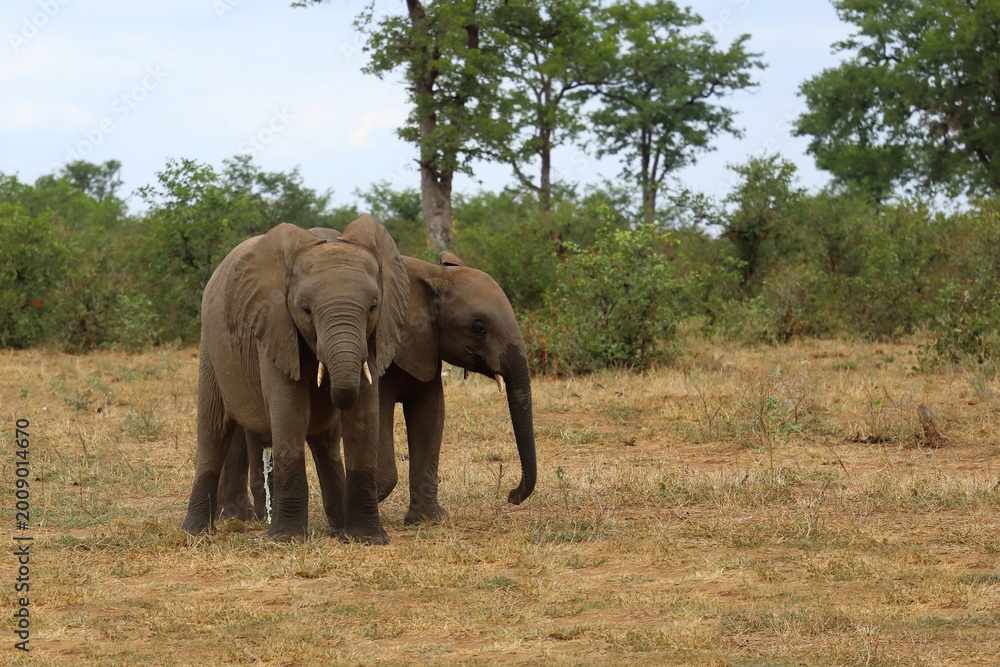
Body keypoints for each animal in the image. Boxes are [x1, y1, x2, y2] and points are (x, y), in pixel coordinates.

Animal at [180, 216, 409, 544]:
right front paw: (286, 539)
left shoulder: (376, 335)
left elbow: (363, 415)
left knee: (325, 443)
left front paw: (366, 539)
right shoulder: (274, 326)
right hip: (211, 346)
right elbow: (289, 409)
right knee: (213, 429)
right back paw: (196, 532)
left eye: (373, 307)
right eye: (305, 310)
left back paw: (338, 525)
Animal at [217, 239, 537, 526]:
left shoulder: (425, 346)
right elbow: (381, 414)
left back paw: (238, 515)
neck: (433, 274)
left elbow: (431, 414)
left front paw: (428, 520)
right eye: (479, 328)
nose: (511, 495)